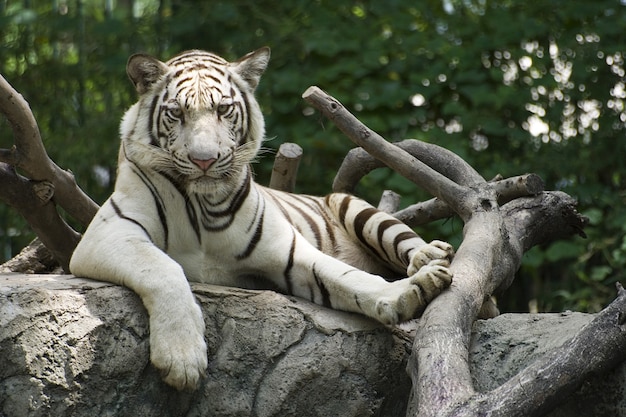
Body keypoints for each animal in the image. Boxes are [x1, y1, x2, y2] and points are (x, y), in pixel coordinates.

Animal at [69, 48, 454, 390]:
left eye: (223, 109)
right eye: (176, 113)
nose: (204, 160)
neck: (202, 204)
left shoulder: (286, 250)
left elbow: (346, 276)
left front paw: (408, 292)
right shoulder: (110, 233)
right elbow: (163, 268)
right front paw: (182, 359)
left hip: (357, 208)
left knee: (407, 242)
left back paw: (431, 257)